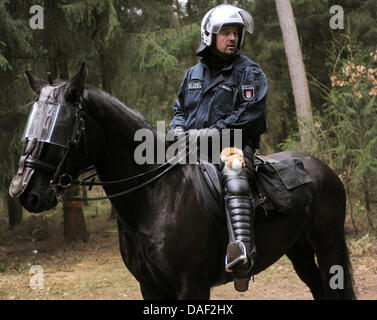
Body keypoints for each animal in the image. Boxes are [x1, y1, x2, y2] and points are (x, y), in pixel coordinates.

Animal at [13, 65, 356, 300]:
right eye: (32, 121)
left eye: (61, 125)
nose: (24, 191)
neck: (155, 197)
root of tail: (323, 169)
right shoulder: (150, 287)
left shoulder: (192, 288)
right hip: (298, 250)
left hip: (328, 247)